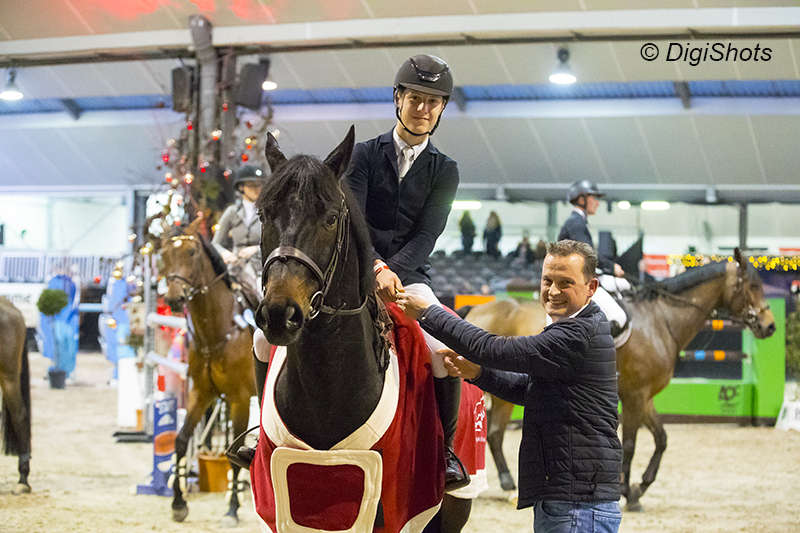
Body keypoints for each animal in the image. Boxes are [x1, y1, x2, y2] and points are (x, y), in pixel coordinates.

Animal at [158, 218, 255, 524]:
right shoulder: (201, 393)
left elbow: (236, 452)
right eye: (164, 254)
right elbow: (180, 441)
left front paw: (233, 508)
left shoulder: (239, 399)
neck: (218, 333)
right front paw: (178, 503)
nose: (174, 298)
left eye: (191, 252)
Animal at [250, 127, 476, 528]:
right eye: (264, 214)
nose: (279, 314)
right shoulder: (275, 508)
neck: (327, 389)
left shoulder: (395, 511)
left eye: (330, 218)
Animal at [462, 250, 776, 512]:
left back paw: (509, 485)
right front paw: (628, 492)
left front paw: (640, 486)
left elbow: (661, 439)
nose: (770, 326)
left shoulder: (645, 397)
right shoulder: (635, 395)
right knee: (492, 432)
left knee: (495, 434)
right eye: (753, 286)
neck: (660, 321)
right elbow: (631, 444)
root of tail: (477, 309)